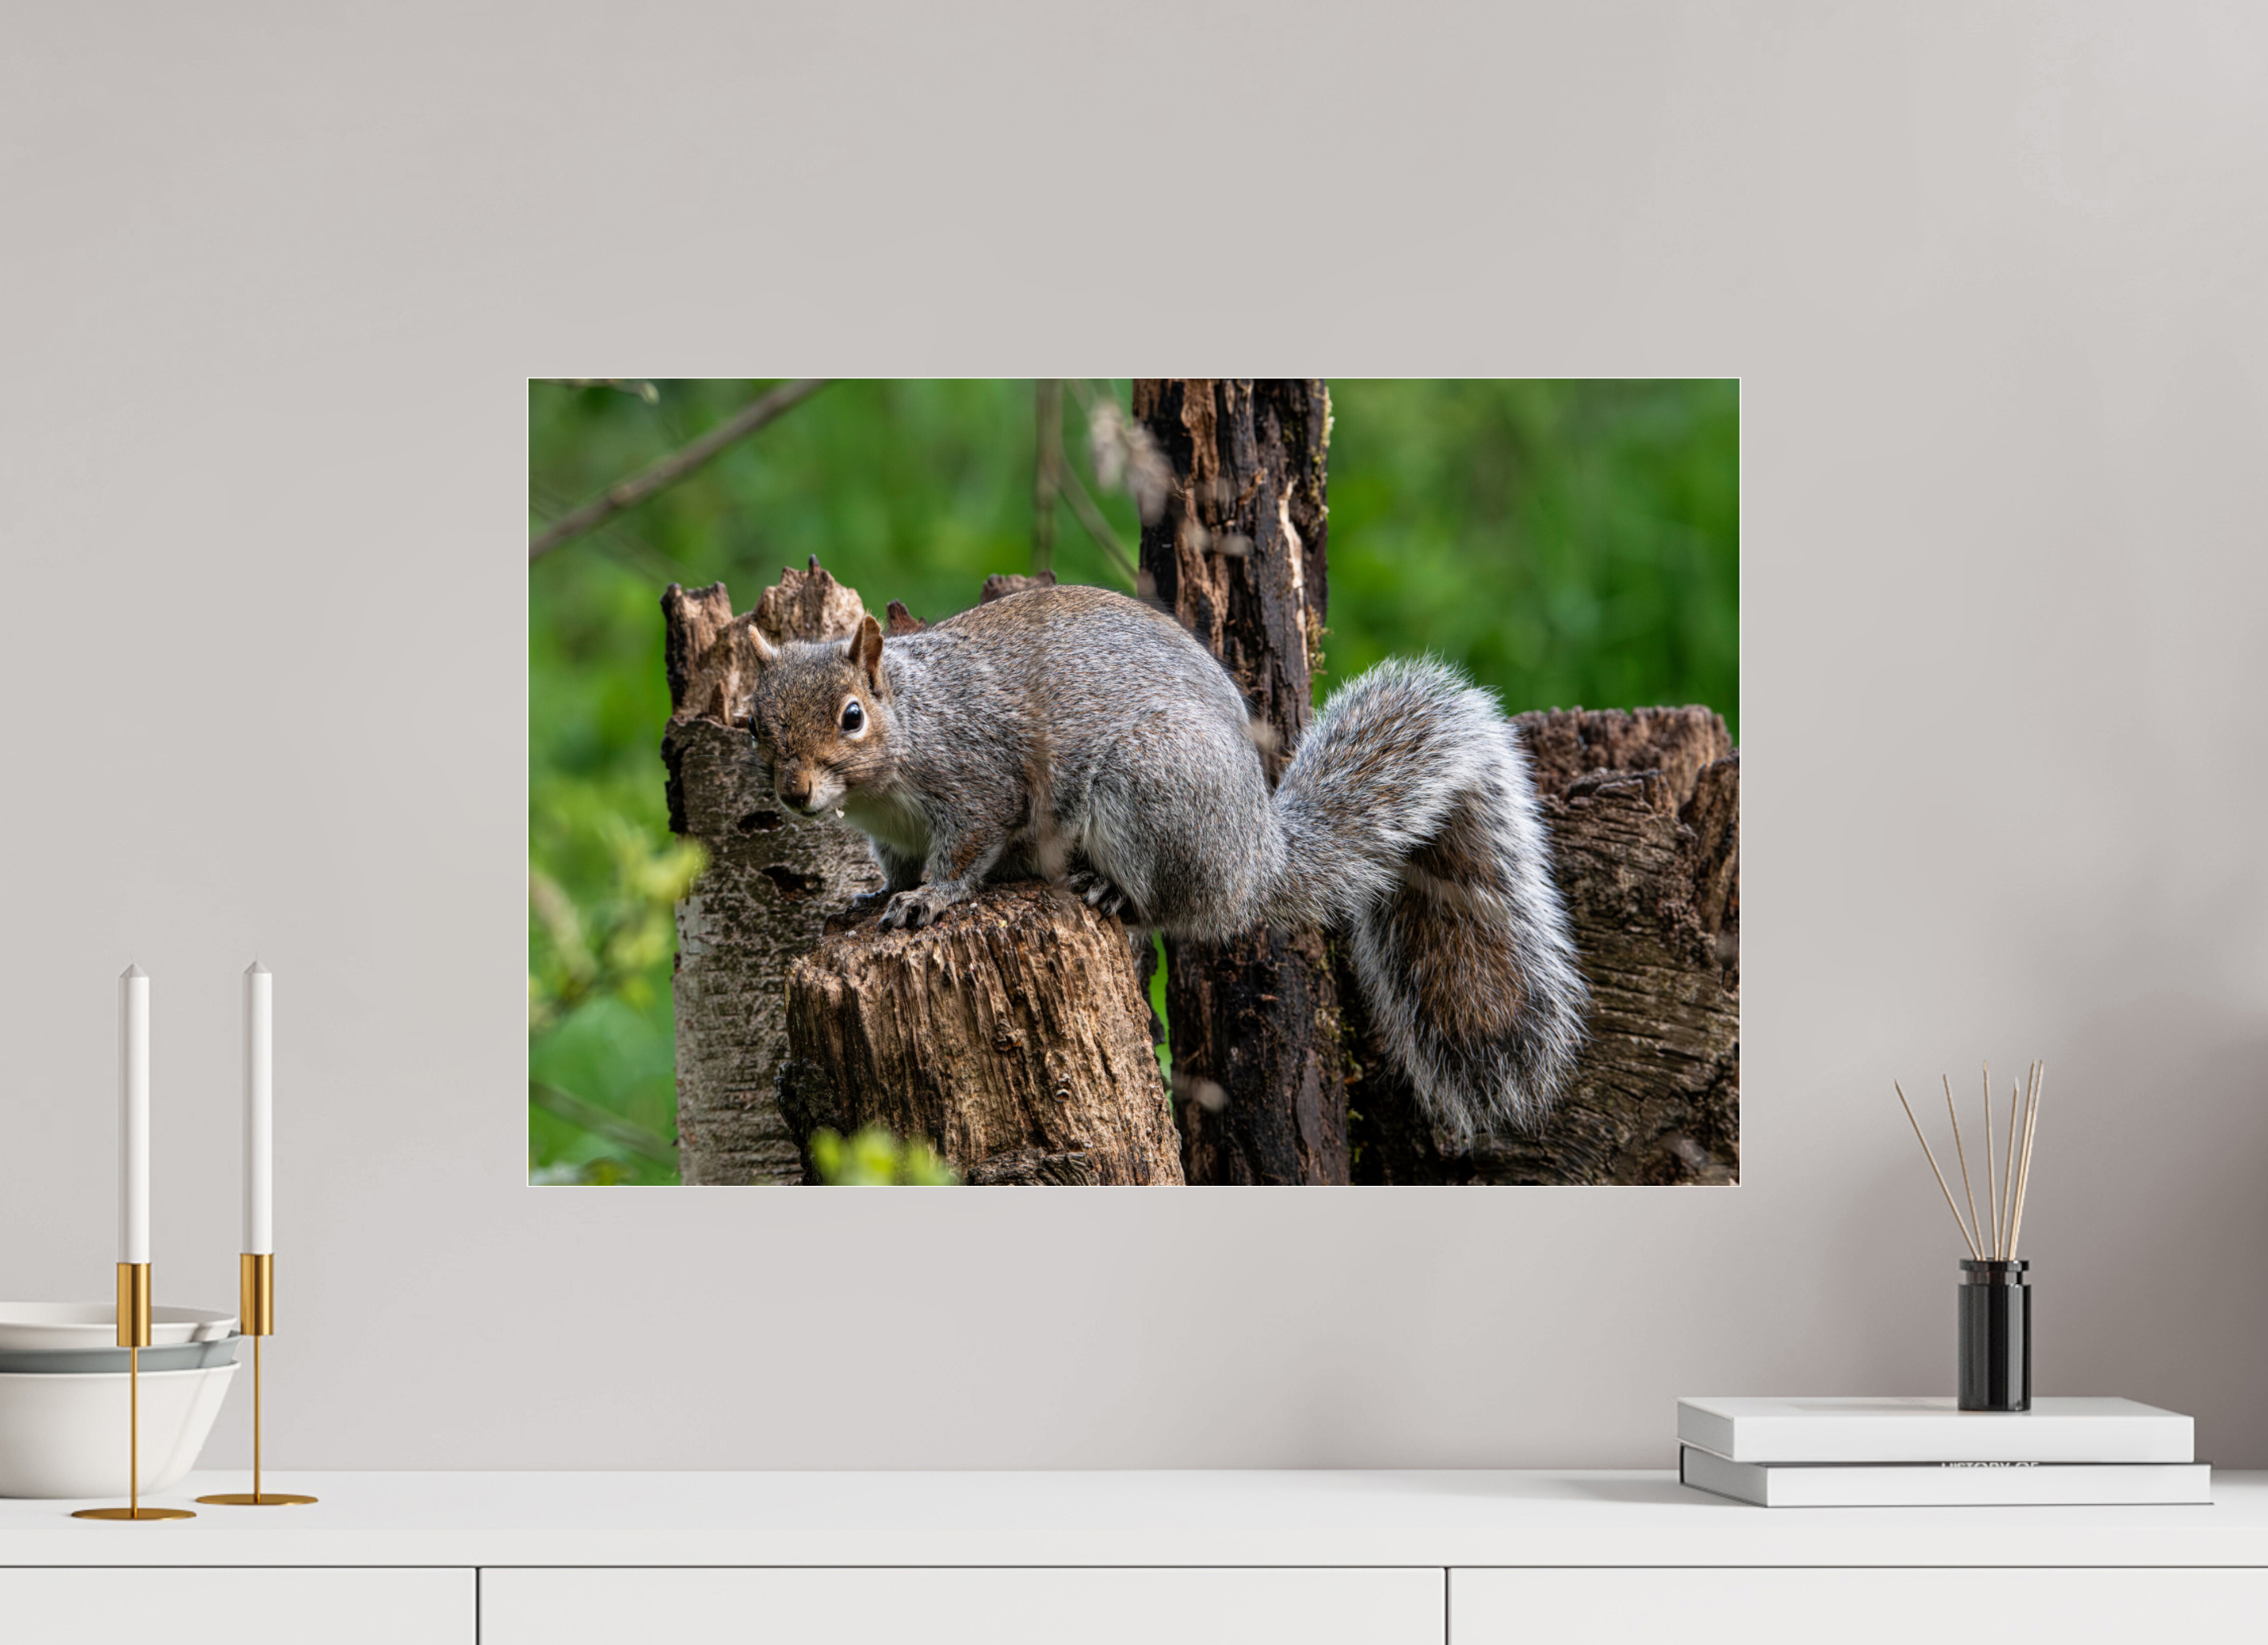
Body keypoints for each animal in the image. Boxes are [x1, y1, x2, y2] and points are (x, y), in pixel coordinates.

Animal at [740, 582, 1587, 1141]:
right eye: (753, 724)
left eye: (852, 716)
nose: (794, 793)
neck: (909, 730)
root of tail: (1255, 861)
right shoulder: (891, 836)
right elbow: (892, 869)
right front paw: (866, 901)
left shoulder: (979, 783)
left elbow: (965, 852)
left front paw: (931, 900)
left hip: (1151, 789)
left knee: (1169, 905)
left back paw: (1111, 892)